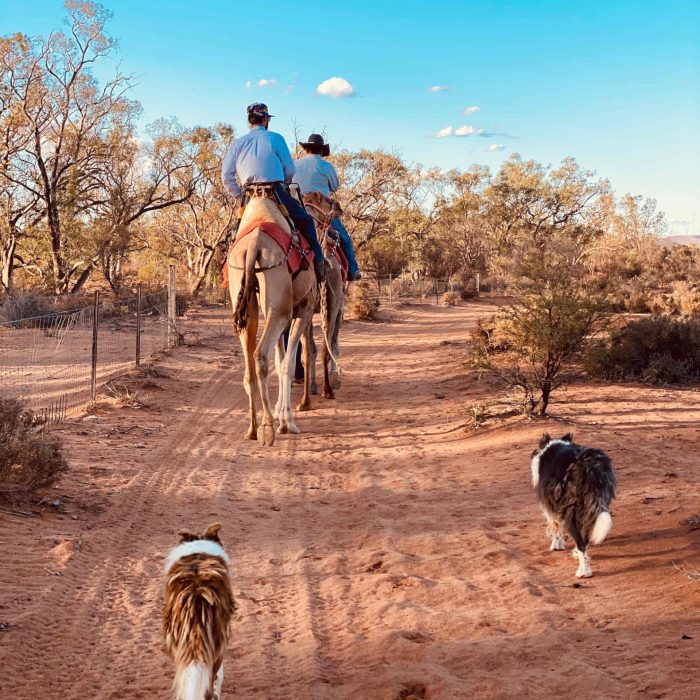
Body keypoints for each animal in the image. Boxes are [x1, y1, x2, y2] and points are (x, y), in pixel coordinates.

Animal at [227, 189, 330, 446]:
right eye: (327, 200)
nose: (338, 209)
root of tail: (254, 245)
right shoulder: (302, 310)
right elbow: (288, 363)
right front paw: (286, 421)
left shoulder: (281, 313)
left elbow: (282, 358)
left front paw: (280, 415)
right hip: (279, 307)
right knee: (261, 355)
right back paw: (267, 428)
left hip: (248, 301)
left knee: (250, 366)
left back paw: (252, 429)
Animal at [532, 432, 616, 580]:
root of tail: (589, 467)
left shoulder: (550, 505)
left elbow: (555, 525)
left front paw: (556, 545)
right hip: (592, 509)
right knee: (585, 540)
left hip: (572, 512)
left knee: (581, 542)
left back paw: (583, 572)